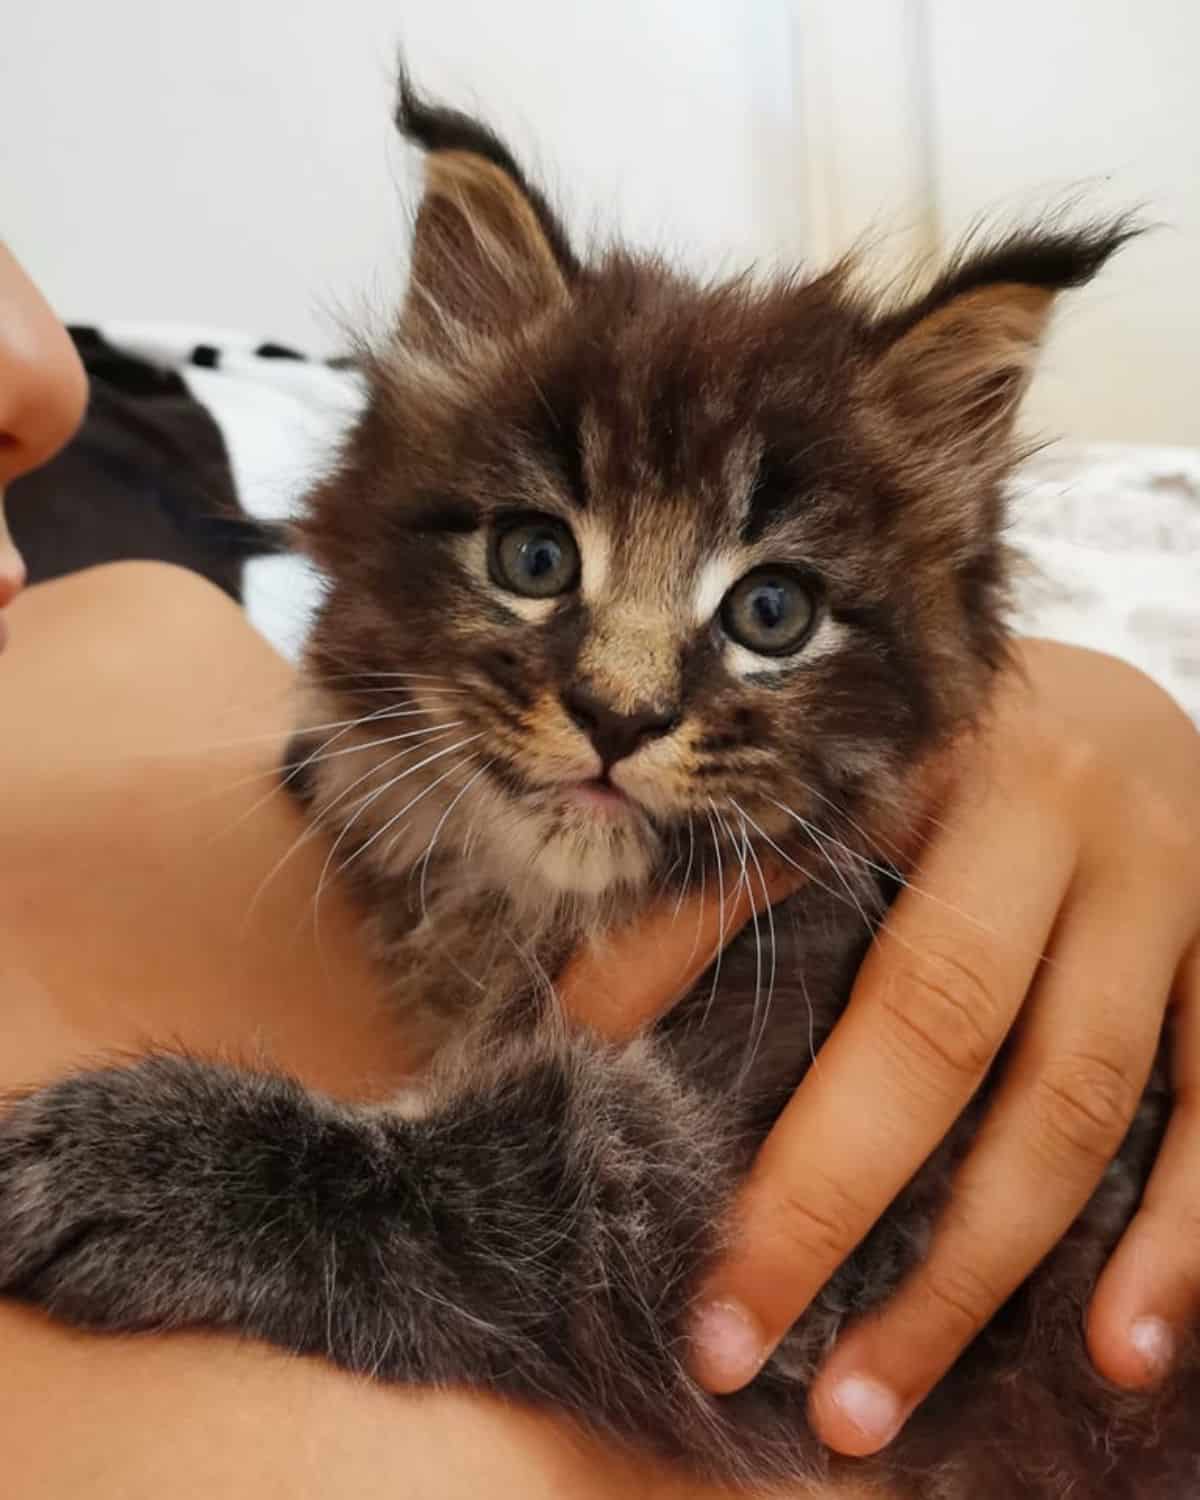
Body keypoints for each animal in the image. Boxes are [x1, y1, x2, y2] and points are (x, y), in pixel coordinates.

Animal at [0, 70, 1188, 1500]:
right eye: (534, 557)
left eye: (772, 614)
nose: (620, 715)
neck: (545, 907)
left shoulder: (772, 1259)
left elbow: (495, 1179)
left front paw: (137, 1160)